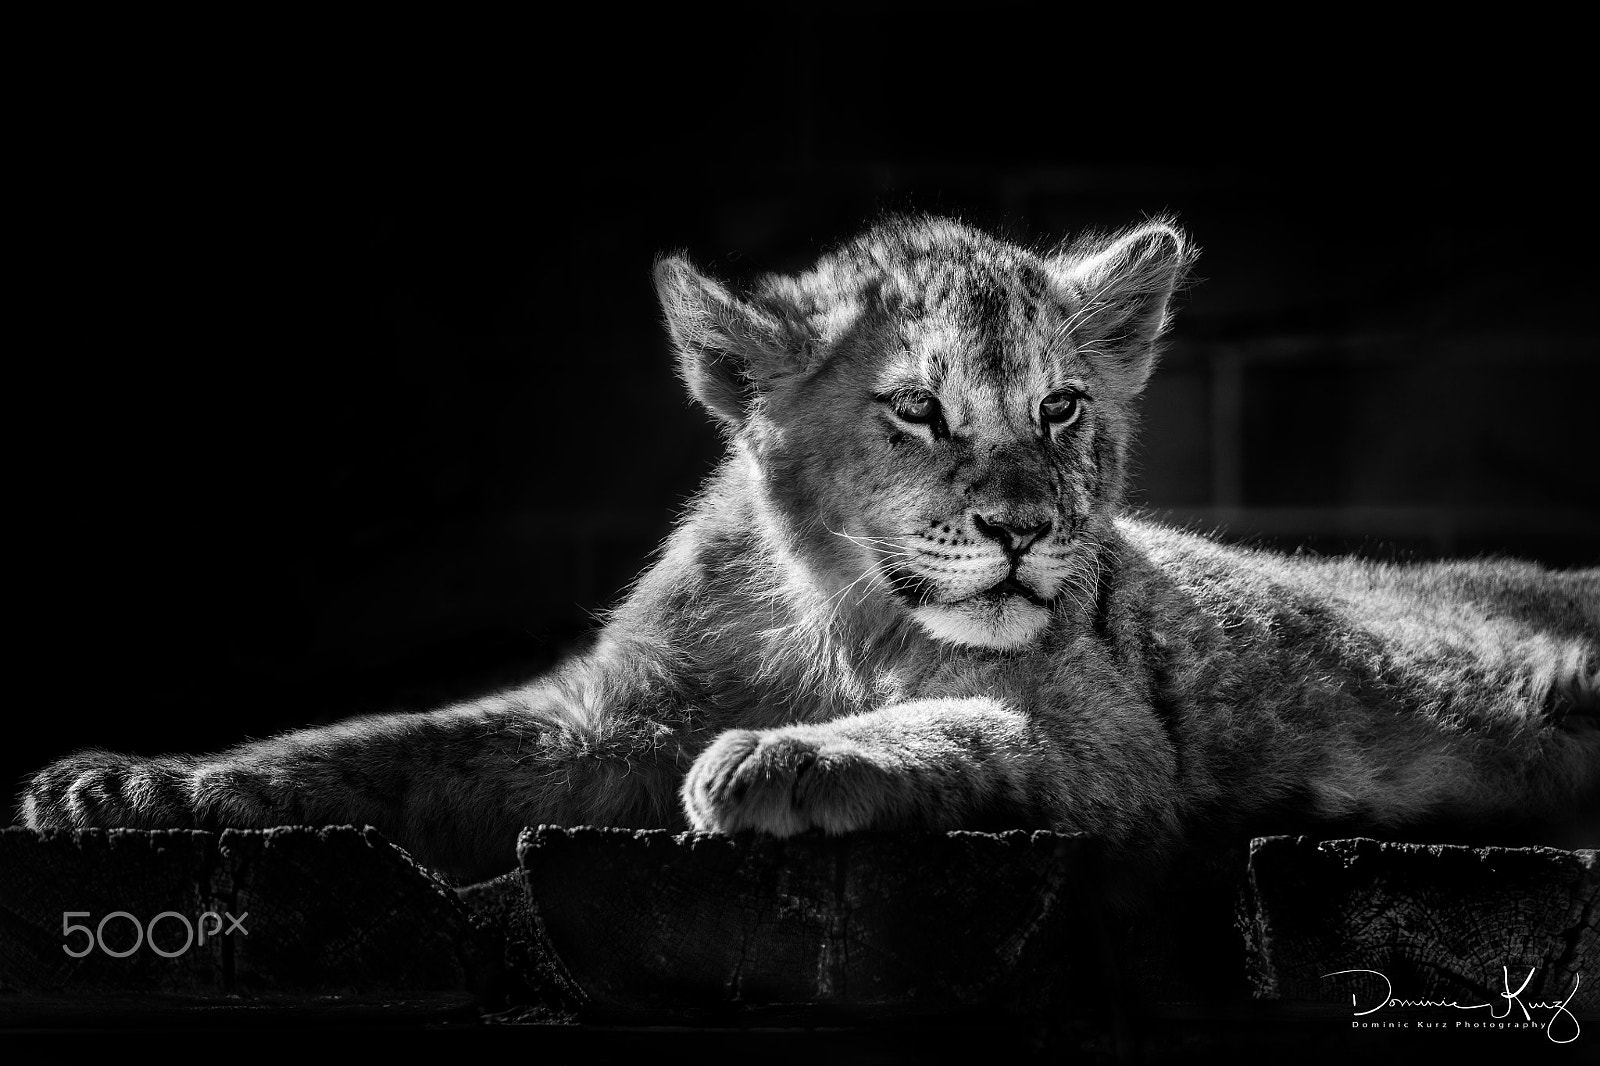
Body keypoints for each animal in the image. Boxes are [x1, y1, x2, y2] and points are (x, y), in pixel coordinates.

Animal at [17, 214, 1600, 886]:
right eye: (917, 407)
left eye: (1061, 406)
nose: (1025, 529)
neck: (828, 612)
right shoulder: (591, 717)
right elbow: (369, 744)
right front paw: (127, 787)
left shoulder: (1115, 746)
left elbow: (959, 725)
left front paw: (779, 759)